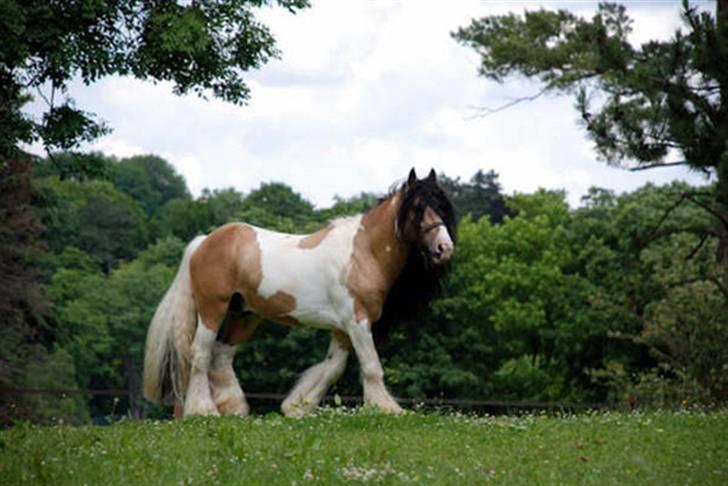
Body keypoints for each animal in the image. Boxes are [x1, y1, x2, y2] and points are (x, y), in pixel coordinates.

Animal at [142, 168, 456, 418]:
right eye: (417, 208)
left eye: (441, 206)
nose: (445, 248)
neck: (363, 252)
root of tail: (204, 241)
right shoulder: (357, 321)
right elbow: (371, 367)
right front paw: (387, 408)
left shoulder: (342, 329)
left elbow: (332, 368)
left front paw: (297, 407)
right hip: (212, 310)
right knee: (201, 353)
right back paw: (203, 411)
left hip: (244, 315)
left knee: (221, 356)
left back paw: (234, 409)